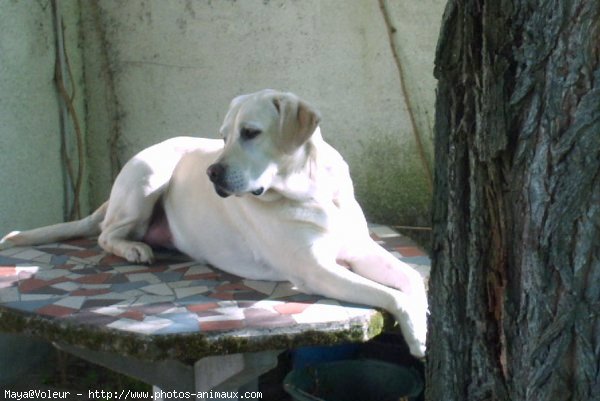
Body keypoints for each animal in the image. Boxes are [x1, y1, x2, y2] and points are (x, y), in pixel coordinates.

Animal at [2, 88, 428, 356]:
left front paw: (424, 324)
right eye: (223, 136)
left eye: (250, 133)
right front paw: (416, 334)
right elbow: (391, 294)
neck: (311, 189)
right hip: (148, 177)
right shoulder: (315, 270)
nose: (211, 173)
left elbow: (410, 278)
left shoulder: (361, 248)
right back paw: (135, 248)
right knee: (106, 234)